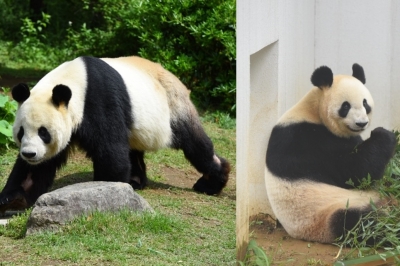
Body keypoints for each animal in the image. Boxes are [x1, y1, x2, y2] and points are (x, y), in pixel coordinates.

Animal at [0, 56, 230, 212]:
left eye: (43, 132)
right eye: (21, 132)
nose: (29, 154)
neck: (75, 83)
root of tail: (176, 79)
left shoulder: (98, 100)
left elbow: (110, 151)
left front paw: (107, 190)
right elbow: (37, 169)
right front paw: (14, 199)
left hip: (173, 106)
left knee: (194, 144)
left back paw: (212, 181)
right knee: (133, 149)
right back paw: (135, 180)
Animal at [266, 63, 396, 244]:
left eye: (365, 103)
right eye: (346, 106)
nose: (361, 123)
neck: (313, 111)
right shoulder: (306, 141)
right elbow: (354, 172)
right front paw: (384, 135)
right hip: (329, 212)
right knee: (359, 224)